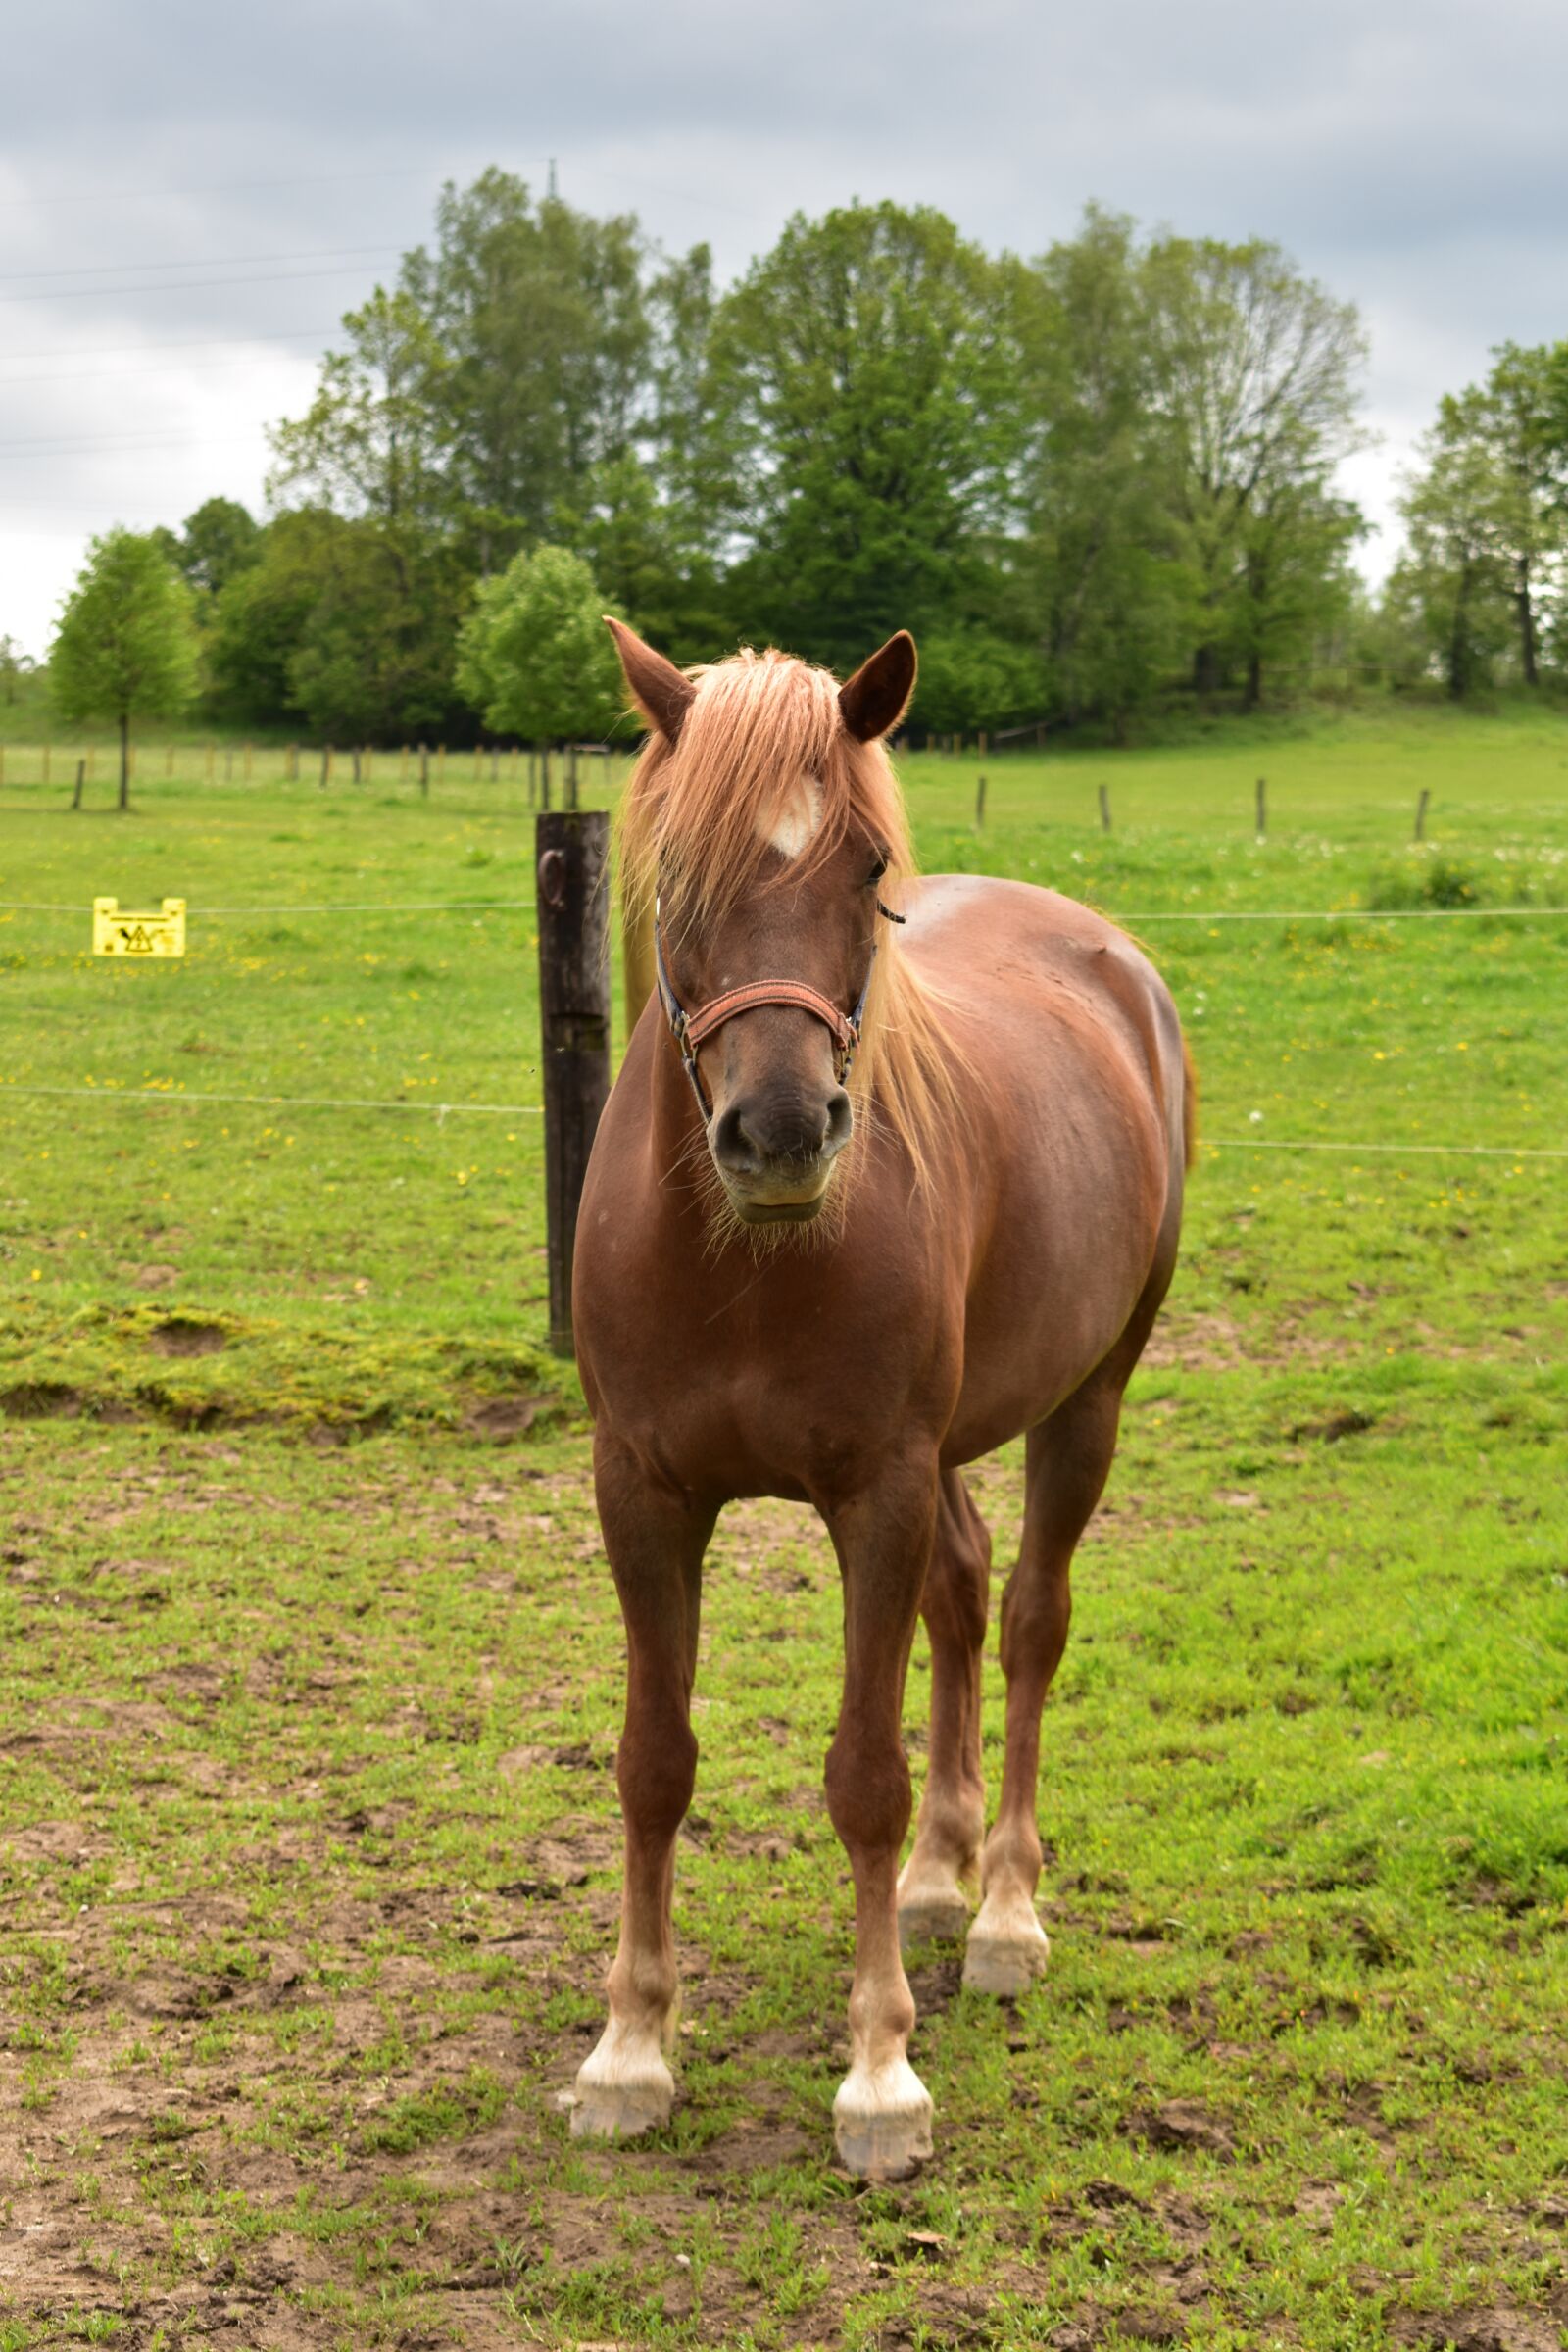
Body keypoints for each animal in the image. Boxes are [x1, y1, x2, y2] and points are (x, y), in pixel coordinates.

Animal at [563, 621, 1193, 2180]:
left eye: (863, 868)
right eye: (680, 869)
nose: (783, 1134)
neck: (742, 1262)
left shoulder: (877, 1491)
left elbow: (862, 1773)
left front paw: (878, 2078)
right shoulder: (641, 1491)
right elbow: (653, 1761)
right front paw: (631, 2053)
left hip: (1085, 1403)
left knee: (1026, 1620)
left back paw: (1006, 1911)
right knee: (963, 1599)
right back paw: (937, 1883)